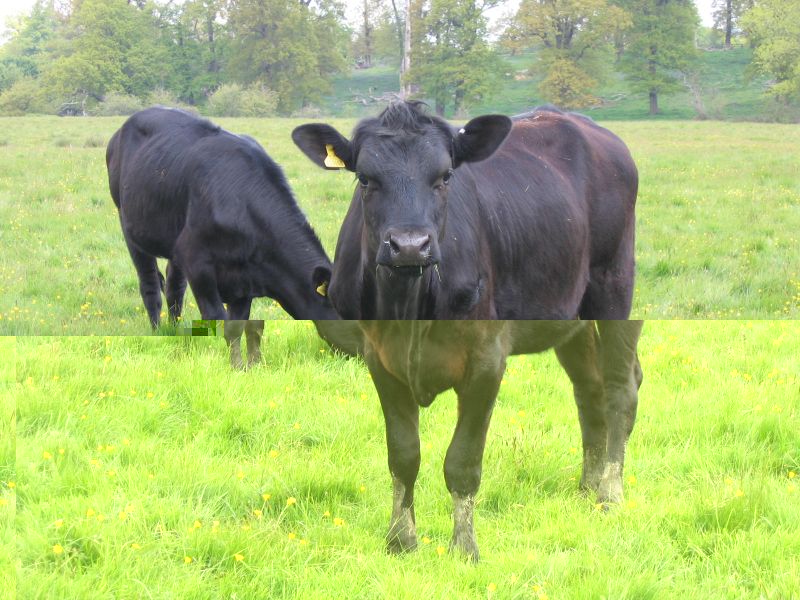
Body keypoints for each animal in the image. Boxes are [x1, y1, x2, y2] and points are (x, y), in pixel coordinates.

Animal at [106, 107, 338, 365]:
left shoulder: (247, 279)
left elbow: (236, 326)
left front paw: (241, 365)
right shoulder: (197, 263)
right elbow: (216, 317)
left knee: (174, 288)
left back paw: (174, 330)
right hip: (130, 227)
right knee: (150, 286)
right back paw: (157, 332)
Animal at [356, 319, 642, 562]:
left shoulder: (486, 362)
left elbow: (462, 462)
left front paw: (464, 549)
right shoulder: (379, 357)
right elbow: (403, 455)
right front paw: (400, 541)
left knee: (621, 390)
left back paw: (609, 495)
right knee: (590, 386)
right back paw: (589, 485)